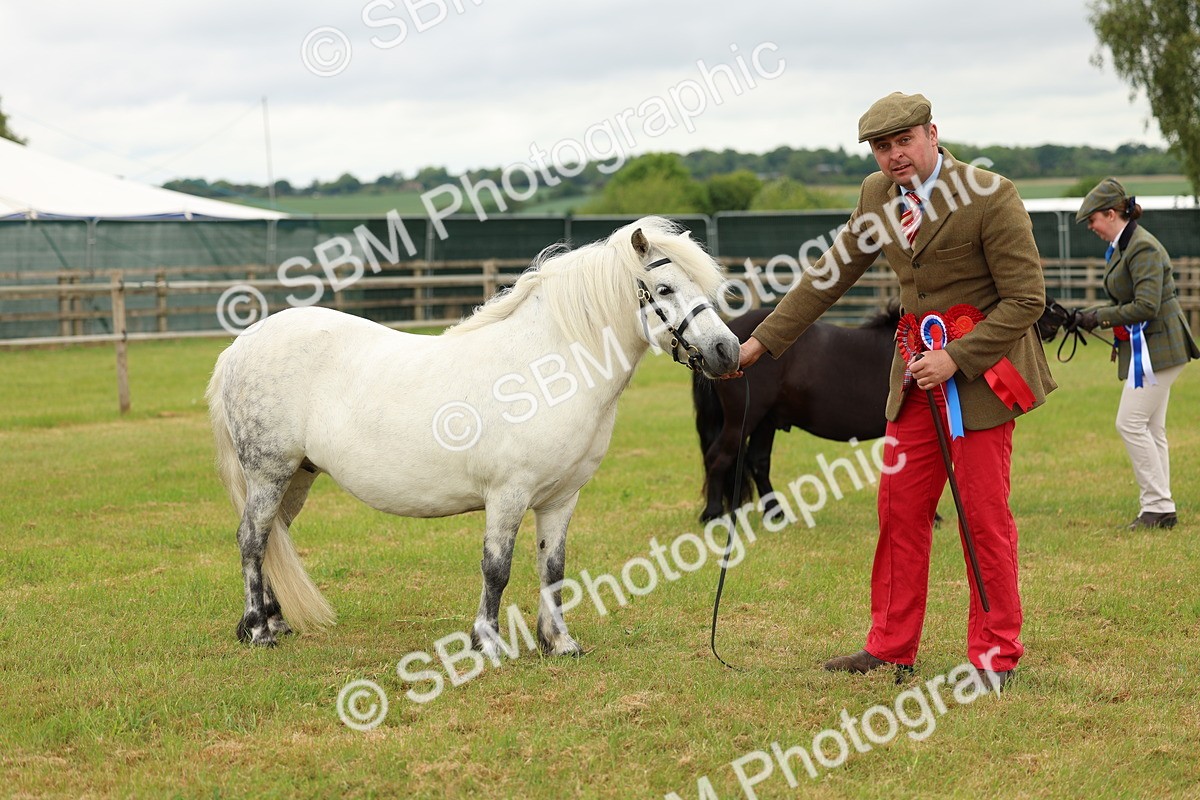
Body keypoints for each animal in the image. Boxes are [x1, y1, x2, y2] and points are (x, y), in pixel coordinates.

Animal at [206, 216, 740, 652]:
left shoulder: (561, 498)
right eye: (665, 288)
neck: (547, 369)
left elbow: (553, 569)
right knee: (252, 538)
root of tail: (241, 345)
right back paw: (258, 630)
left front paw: (558, 643)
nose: (727, 350)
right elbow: (496, 568)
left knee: (274, 536)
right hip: (269, 472)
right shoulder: (507, 495)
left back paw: (276, 622)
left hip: (298, 475)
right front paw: (487, 642)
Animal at [694, 297, 1065, 523]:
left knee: (758, 463)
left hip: (766, 421)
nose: (1061, 316)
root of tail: (727, 345)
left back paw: (776, 514)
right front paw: (933, 518)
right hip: (744, 419)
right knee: (719, 458)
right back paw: (713, 514)